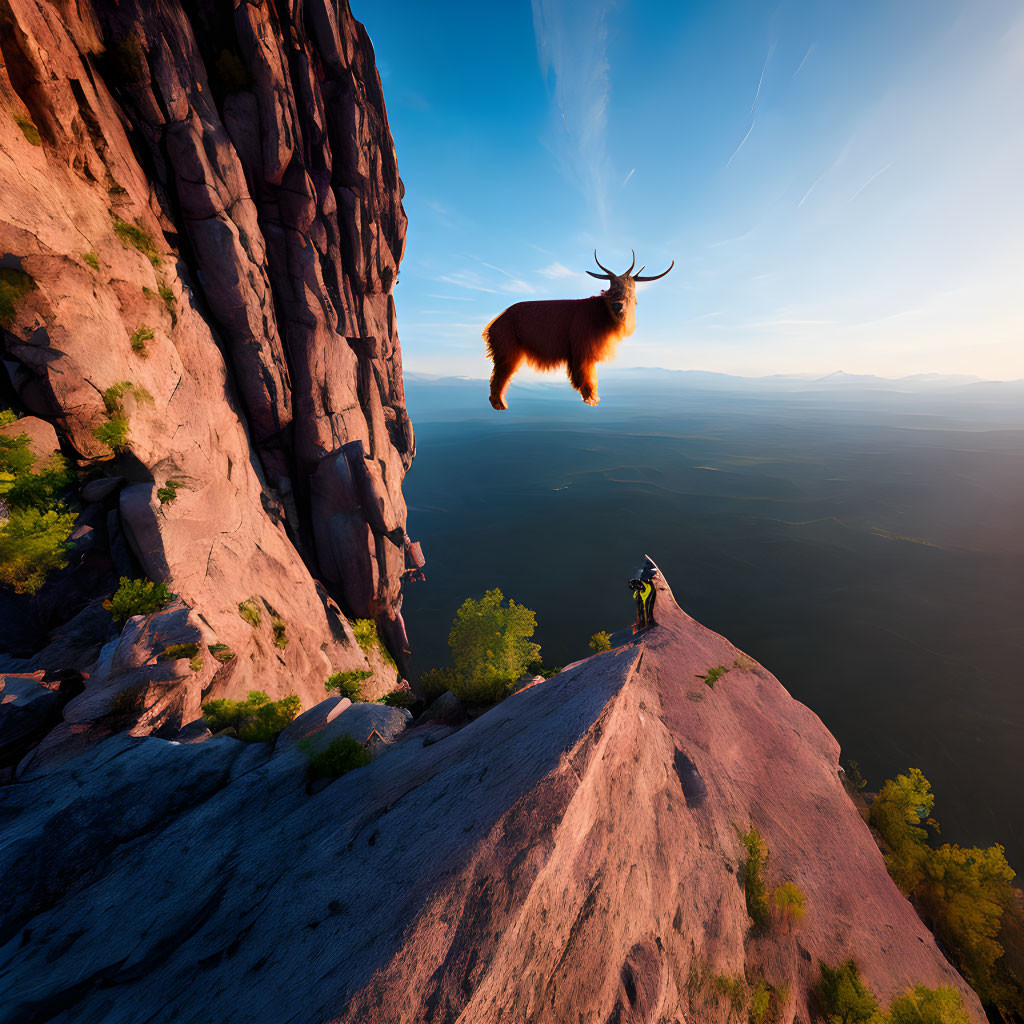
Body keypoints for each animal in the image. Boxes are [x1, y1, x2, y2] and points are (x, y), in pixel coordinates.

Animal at [485, 249, 675, 409]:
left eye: (630, 288)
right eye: (612, 287)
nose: (618, 305)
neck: (603, 316)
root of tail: (494, 323)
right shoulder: (581, 349)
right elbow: (586, 376)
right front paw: (592, 399)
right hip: (508, 350)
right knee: (499, 376)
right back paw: (500, 404)